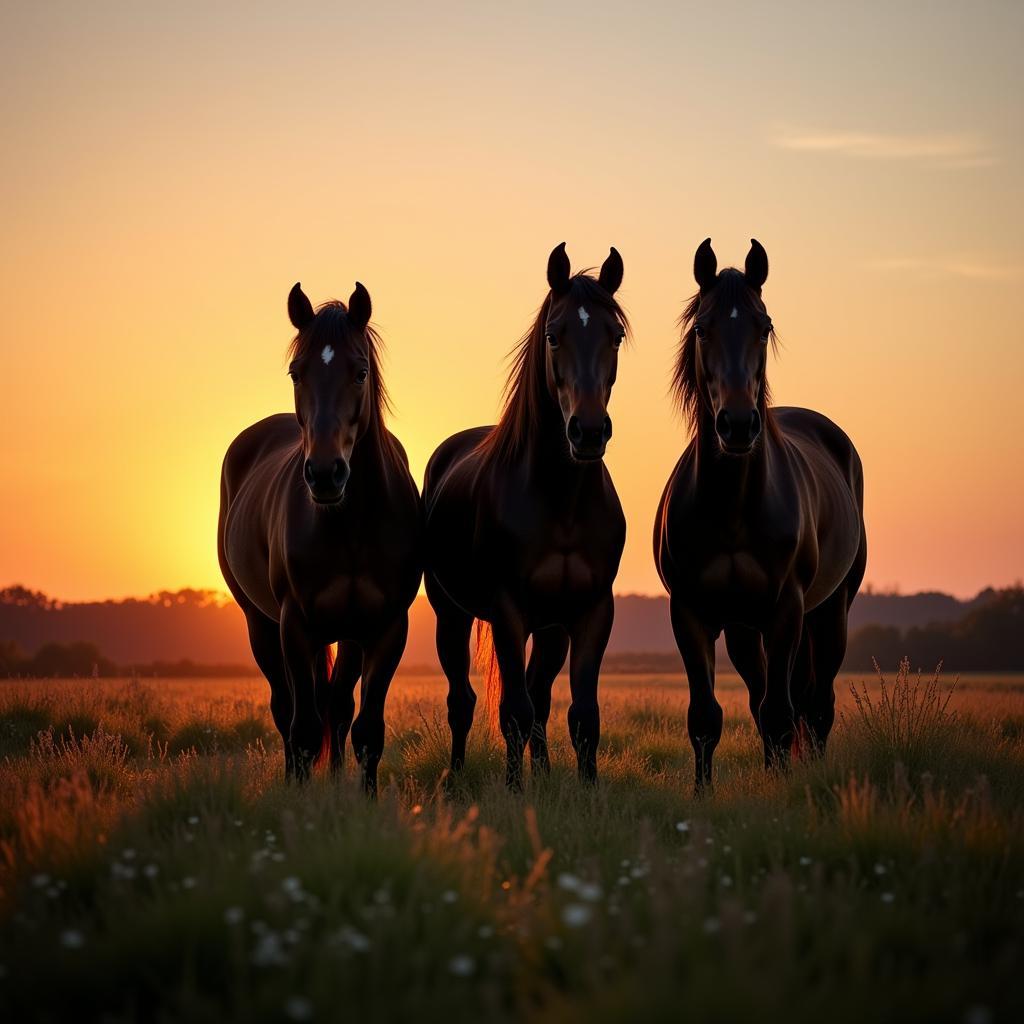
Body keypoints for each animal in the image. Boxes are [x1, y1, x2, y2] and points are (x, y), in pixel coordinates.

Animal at [218, 280, 421, 790]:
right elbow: (305, 727)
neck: (350, 525)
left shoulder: (386, 627)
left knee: (337, 705)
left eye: (360, 371)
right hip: (261, 624)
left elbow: (365, 728)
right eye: (296, 372)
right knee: (287, 708)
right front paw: (301, 797)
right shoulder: (295, 625)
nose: (326, 474)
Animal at [419, 243, 626, 786]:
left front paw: (587, 791)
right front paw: (515, 791)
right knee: (464, 701)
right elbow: (513, 710)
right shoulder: (508, 612)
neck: (562, 504)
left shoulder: (591, 611)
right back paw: (455, 780)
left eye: (615, 335)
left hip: (550, 629)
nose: (588, 431)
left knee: (542, 697)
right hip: (451, 616)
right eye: (554, 335)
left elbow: (582, 715)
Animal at [655, 237, 864, 790]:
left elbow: (780, 713)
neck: (733, 509)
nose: (737, 424)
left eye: (764, 325)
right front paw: (702, 796)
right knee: (764, 697)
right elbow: (707, 717)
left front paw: (782, 791)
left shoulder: (786, 610)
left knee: (814, 706)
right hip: (745, 631)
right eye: (702, 327)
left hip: (829, 612)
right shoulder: (691, 613)